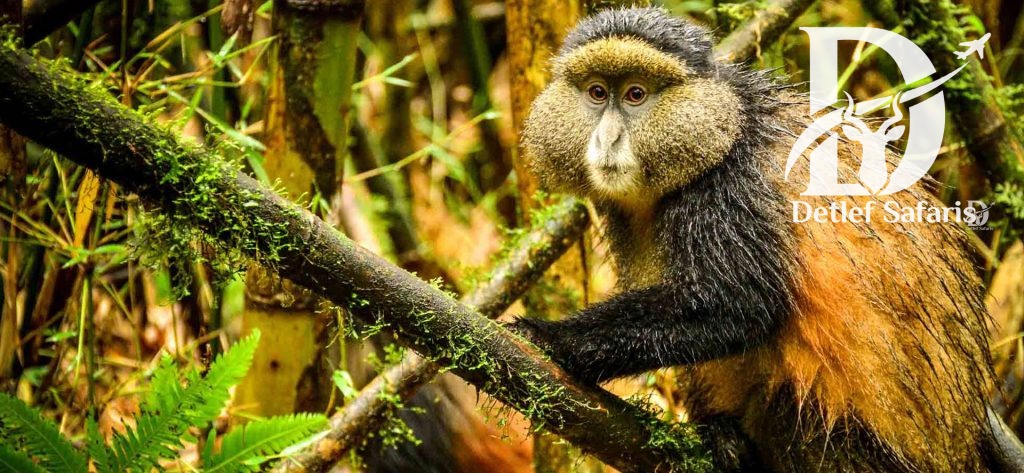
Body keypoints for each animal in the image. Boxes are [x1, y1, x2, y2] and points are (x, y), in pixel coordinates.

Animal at [510, 7, 1024, 472]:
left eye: (636, 94)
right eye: (597, 93)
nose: (609, 139)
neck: (726, 126)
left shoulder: (732, 191)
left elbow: (739, 305)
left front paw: (551, 338)